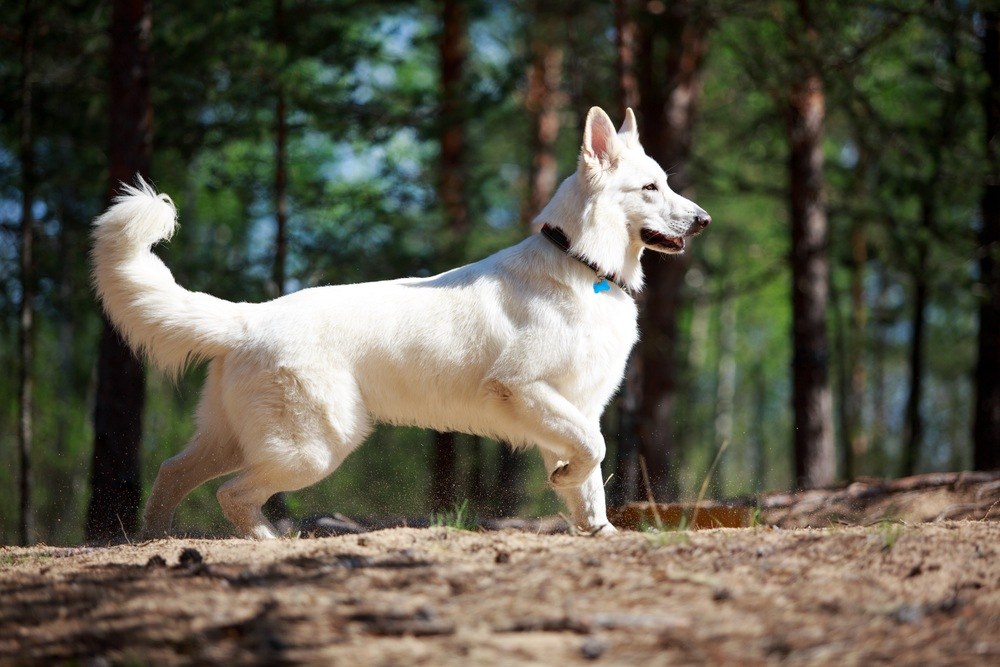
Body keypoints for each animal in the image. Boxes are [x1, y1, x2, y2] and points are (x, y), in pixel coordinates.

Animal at [90, 107, 708, 540]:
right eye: (650, 188)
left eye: (665, 182)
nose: (703, 220)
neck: (582, 264)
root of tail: (247, 317)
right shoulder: (526, 390)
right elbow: (594, 451)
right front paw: (566, 487)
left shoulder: (575, 405)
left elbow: (589, 477)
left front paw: (597, 529)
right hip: (314, 448)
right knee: (232, 496)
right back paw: (266, 541)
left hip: (237, 439)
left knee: (172, 473)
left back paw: (153, 539)